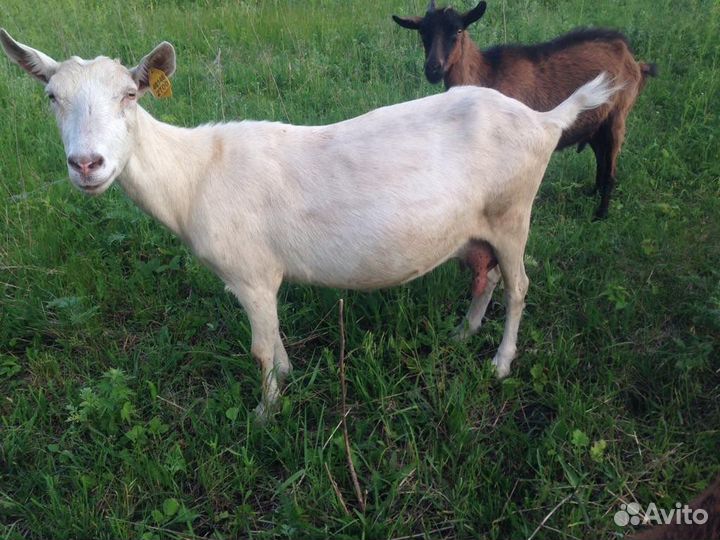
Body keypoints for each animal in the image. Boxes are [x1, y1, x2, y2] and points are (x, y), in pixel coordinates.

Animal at [0, 29, 616, 417]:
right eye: (51, 96)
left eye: (131, 94)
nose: (87, 164)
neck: (196, 173)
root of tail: (545, 120)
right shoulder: (261, 278)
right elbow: (273, 340)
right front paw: (289, 379)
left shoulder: (249, 273)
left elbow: (258, 348)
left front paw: (265, 413)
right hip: (477, 223)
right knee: (483, 273)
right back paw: (463, 333)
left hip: (514, 210)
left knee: (519, 284)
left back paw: (500, 364)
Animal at [393, 0, 657, 219]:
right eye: (423, 32)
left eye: (457, 31)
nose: (433, 69)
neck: (487, 73)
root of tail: (632, 59)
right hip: (596, 122)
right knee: (601, 160)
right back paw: (591, 194)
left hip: (617, 118)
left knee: (610, 168)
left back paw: (600, 215)